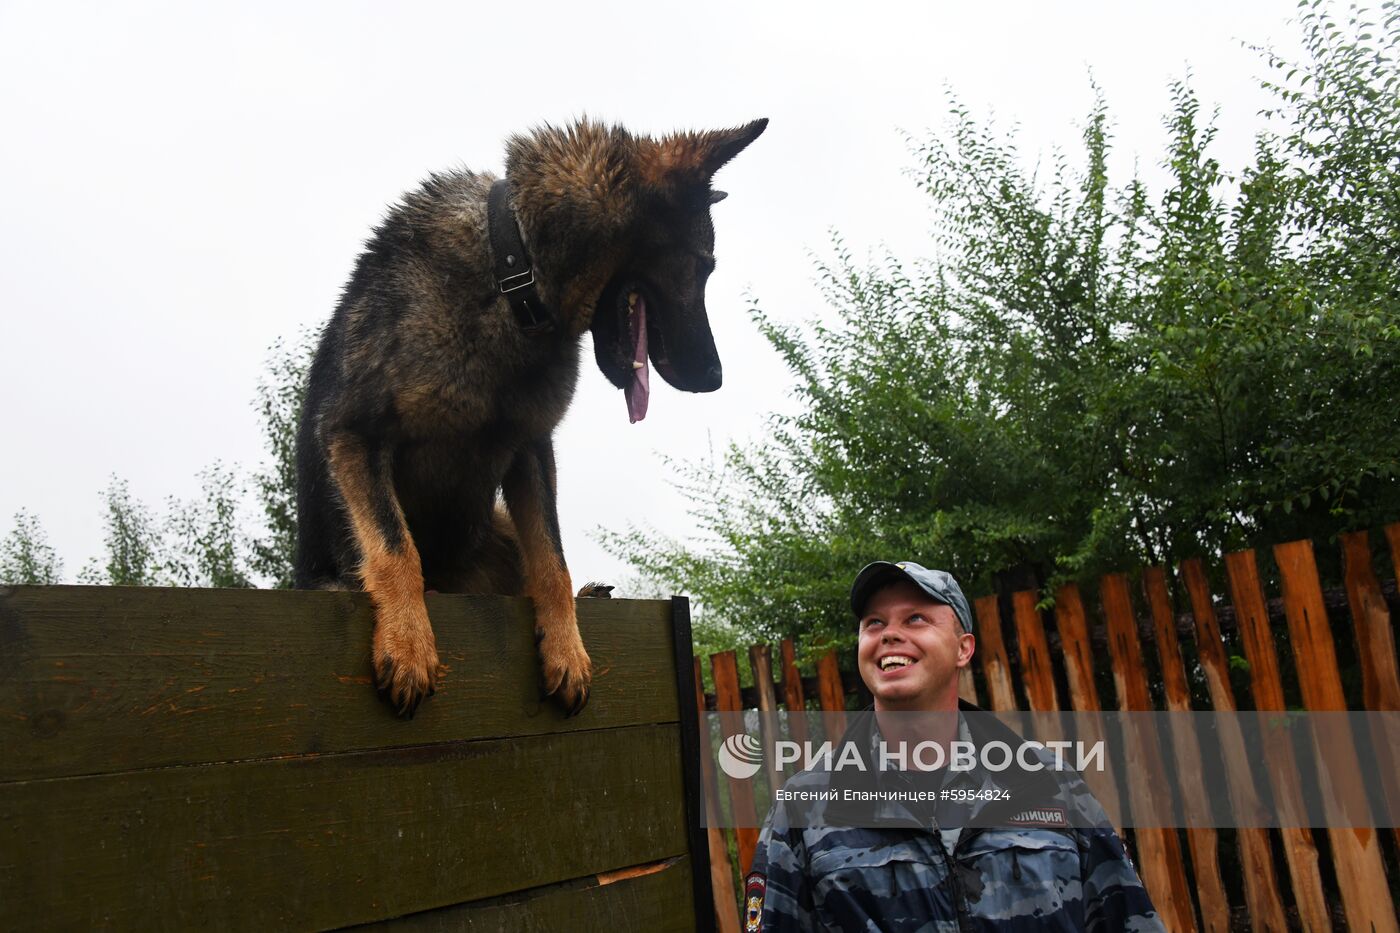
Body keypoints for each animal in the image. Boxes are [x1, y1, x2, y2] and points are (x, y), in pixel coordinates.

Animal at [294, 116, 767, 711]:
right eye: (704, 267)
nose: (714, 377)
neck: (513, 279)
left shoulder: (530, 450)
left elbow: (551, 558)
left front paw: (566, 649)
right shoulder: (355, 435)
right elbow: (395, 546)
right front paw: (408, 643)